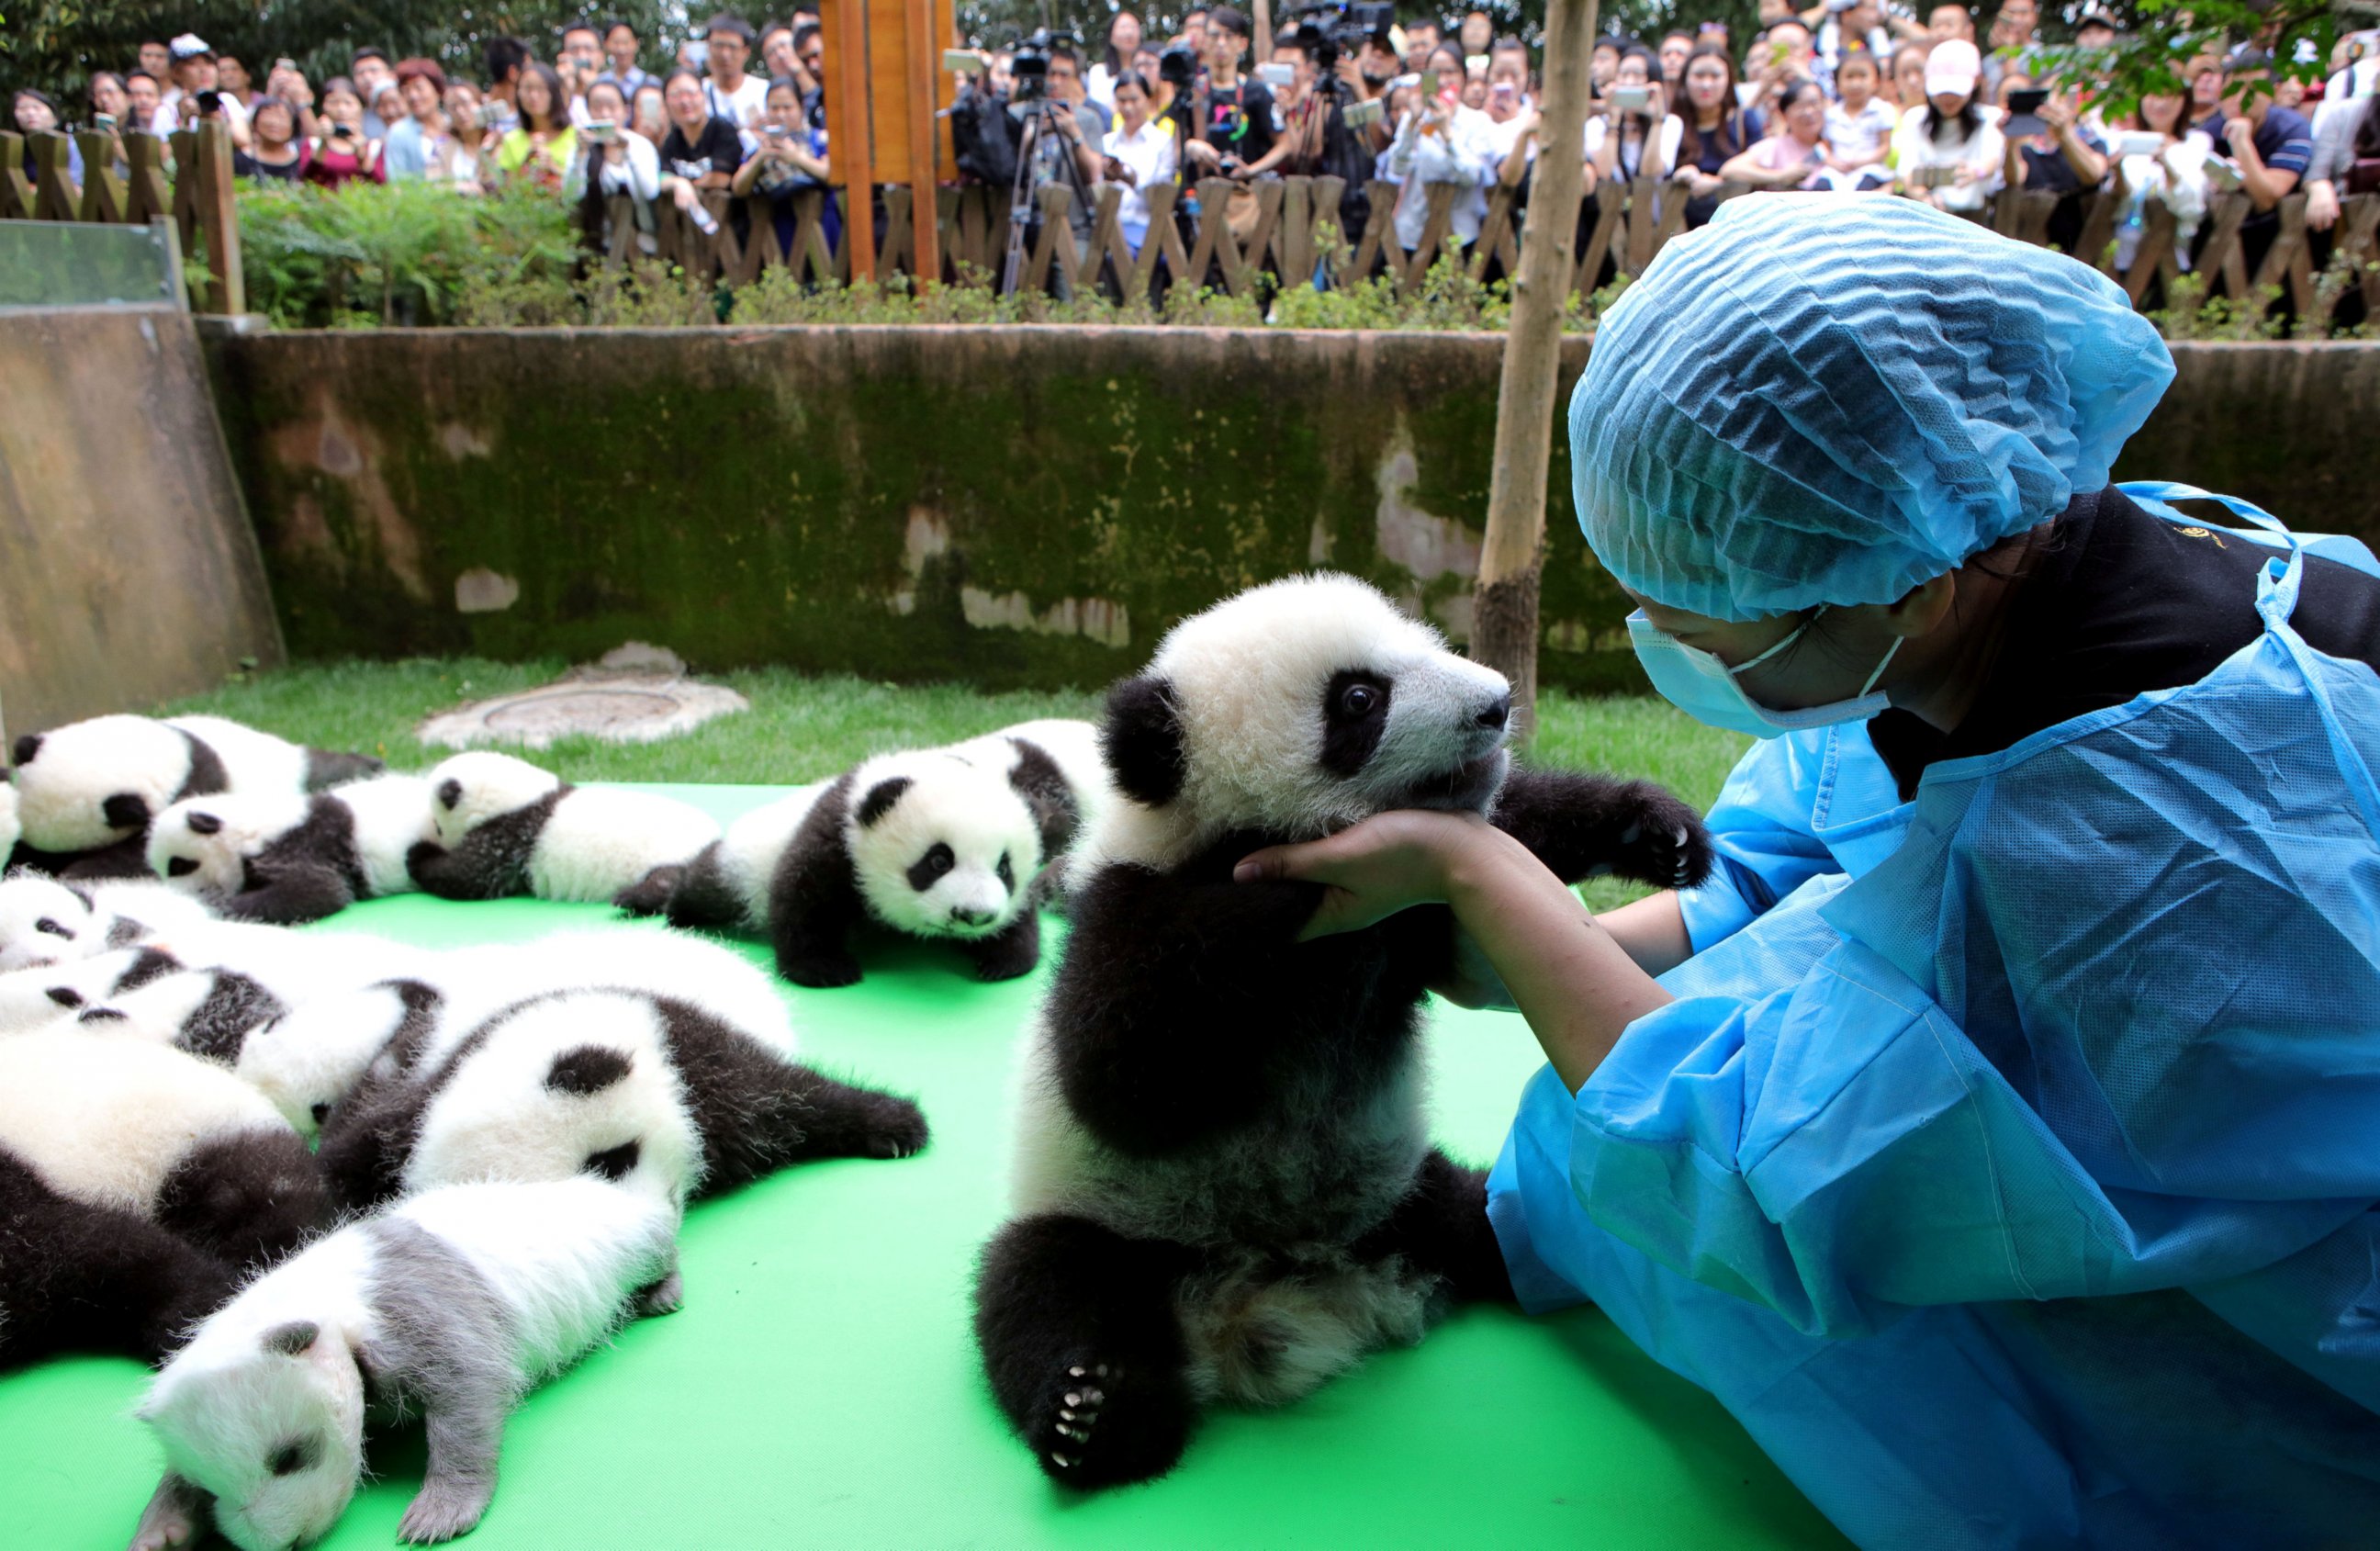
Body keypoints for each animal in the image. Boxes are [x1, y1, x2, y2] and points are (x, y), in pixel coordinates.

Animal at [966, 578, 1713, 1493]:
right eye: (1359, 699)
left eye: (1422, 643)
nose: (1498, 704)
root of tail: (1285, 1296)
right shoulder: (1127, 909)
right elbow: (1120, 1083)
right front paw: (1278, 887)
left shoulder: (1413, 922)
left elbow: (1505, 828)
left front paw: (1655, 830)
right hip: (1111, 1221)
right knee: (1042, 1287)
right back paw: (1095, 1416)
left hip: (1405, 1194)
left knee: (1490, 1220)